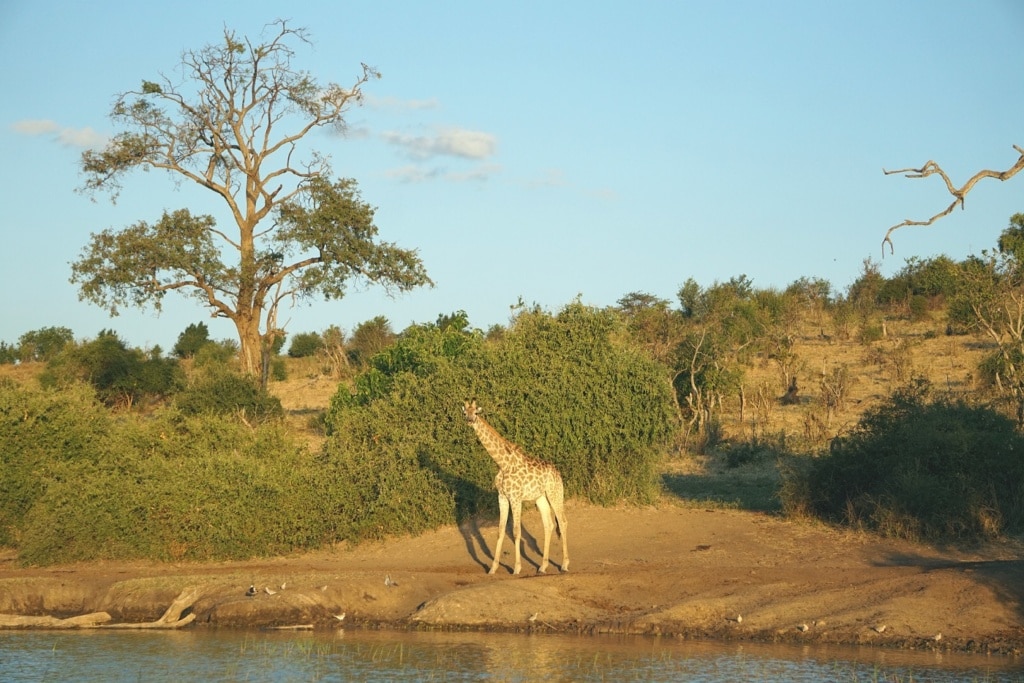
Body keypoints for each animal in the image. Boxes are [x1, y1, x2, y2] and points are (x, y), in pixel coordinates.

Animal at [462, 399, 569, 575]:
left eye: (476, 412)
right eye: (465, 413)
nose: (470, 420)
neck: (503, 463)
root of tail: (558, 473)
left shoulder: (515, 498)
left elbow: (516, 531)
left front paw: (517, 568)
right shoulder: (502, 497)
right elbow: (500, 531)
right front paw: (493, 568)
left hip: (555, 493)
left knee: (563, 521)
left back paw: (564, 565)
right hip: (540, 497)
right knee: (549, 524)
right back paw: (542, 566)